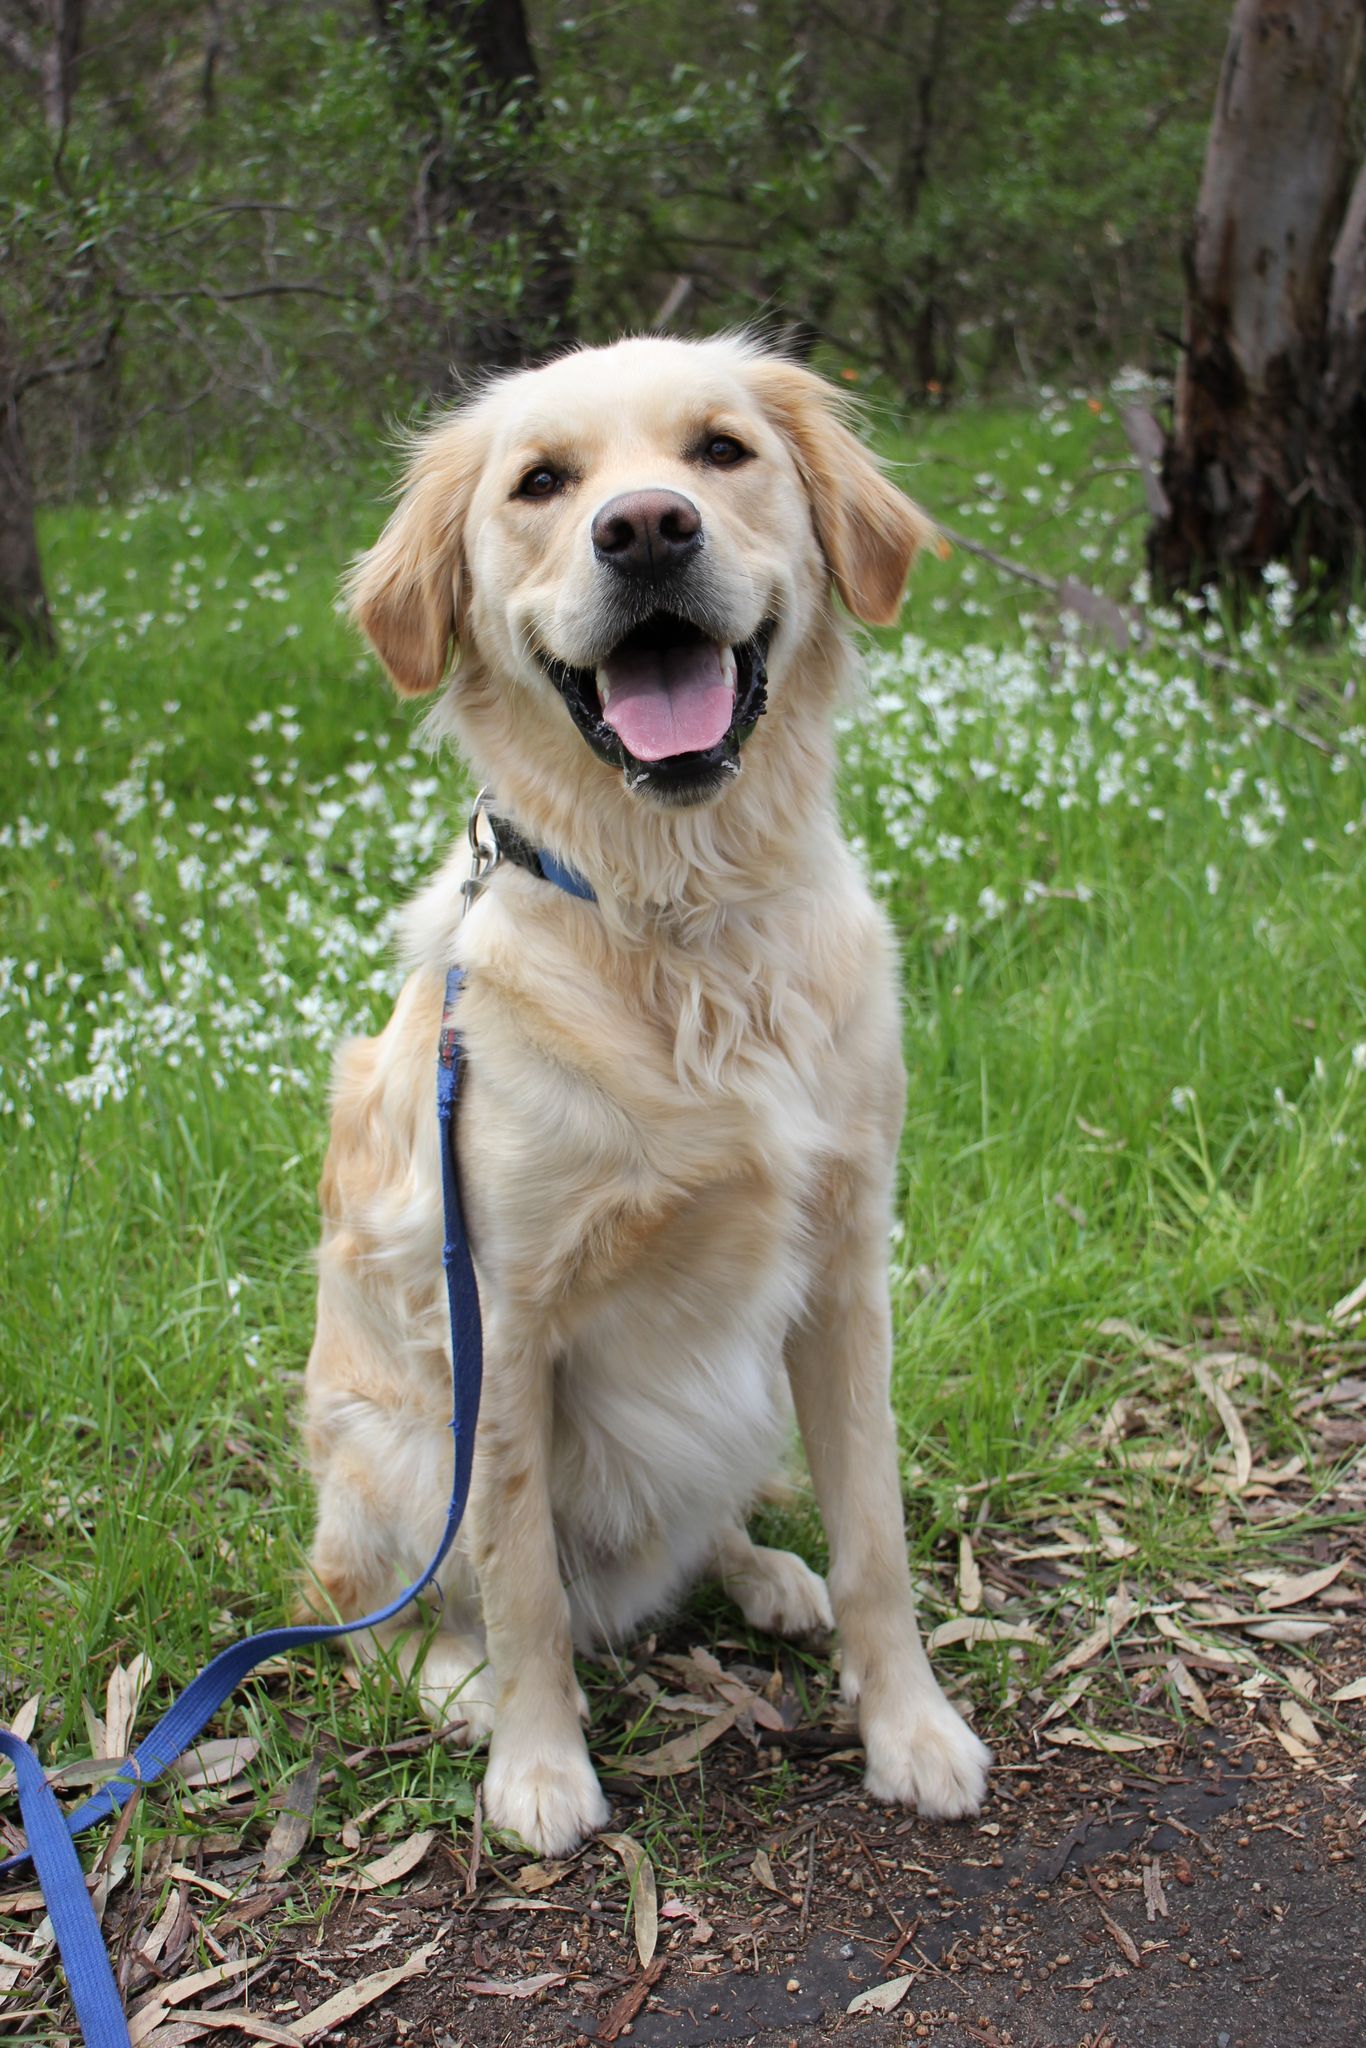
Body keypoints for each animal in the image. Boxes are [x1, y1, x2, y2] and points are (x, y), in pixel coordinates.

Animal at [305, 335, 995, 1859]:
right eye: (540, 484)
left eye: (720, 451)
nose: (645, 529)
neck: (688, 917)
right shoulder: (499, 1324)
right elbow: (518, 1583)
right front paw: (537, 1765)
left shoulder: (843, 1271)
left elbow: (878, 1540)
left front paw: (909, 1729)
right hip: (391, 1444)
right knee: (361, 1604)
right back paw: (449, 1684)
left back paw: (763, 1573)